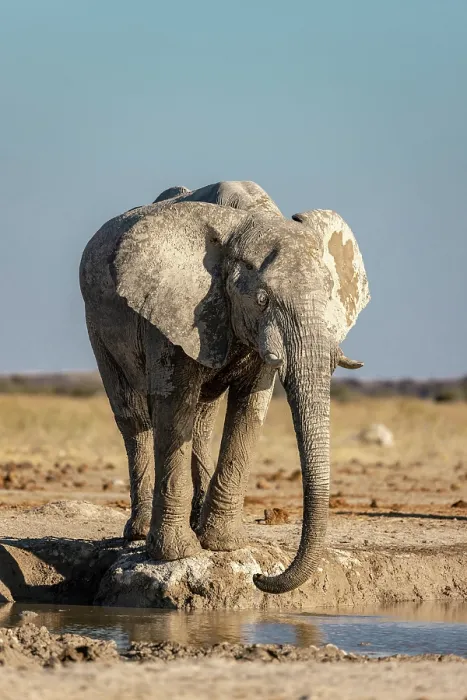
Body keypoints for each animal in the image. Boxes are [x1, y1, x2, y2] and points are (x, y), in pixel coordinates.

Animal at [79, 180, 370, 593]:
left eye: (330, 297)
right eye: (262, 300)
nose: (260, 576)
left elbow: (250, 408)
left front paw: (223, 545)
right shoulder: (173, 308)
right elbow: (173, 407)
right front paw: (176, 553)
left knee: (202, 417)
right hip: (96, 320)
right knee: (132, 417)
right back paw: (138, 533)